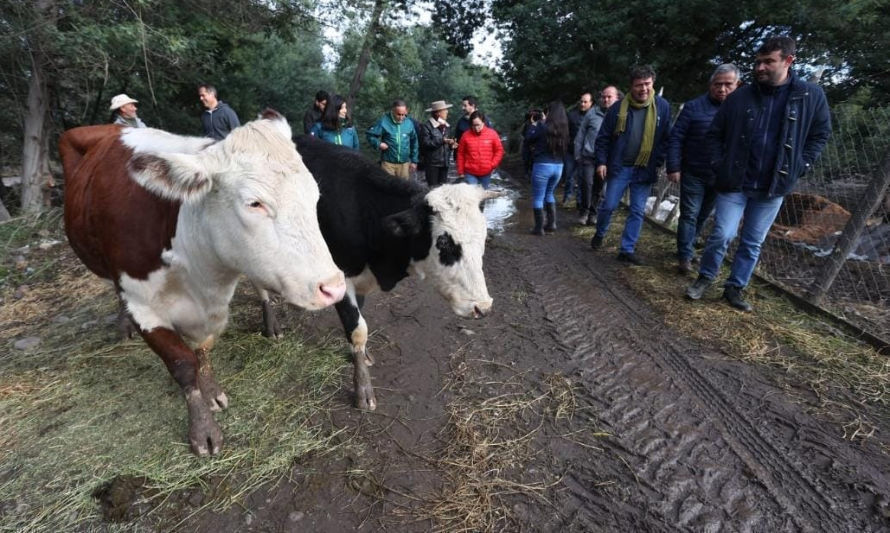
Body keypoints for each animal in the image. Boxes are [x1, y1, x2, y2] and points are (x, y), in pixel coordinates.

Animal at [60, 114, 346, 456]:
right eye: (254, 203)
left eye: (314, 194)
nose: (333, 286)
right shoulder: (146, 308)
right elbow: (182, 364)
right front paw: (203, 429)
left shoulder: (213, 307)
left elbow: (202, 351)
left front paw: (209, 391)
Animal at [256, 136, 496, 408]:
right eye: (444, 243)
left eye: (483, 238)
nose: (483, 307)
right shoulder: (341, 278)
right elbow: (358, 329)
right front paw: (363, 389)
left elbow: (357, 323)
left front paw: (361, 355)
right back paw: (271, 326)